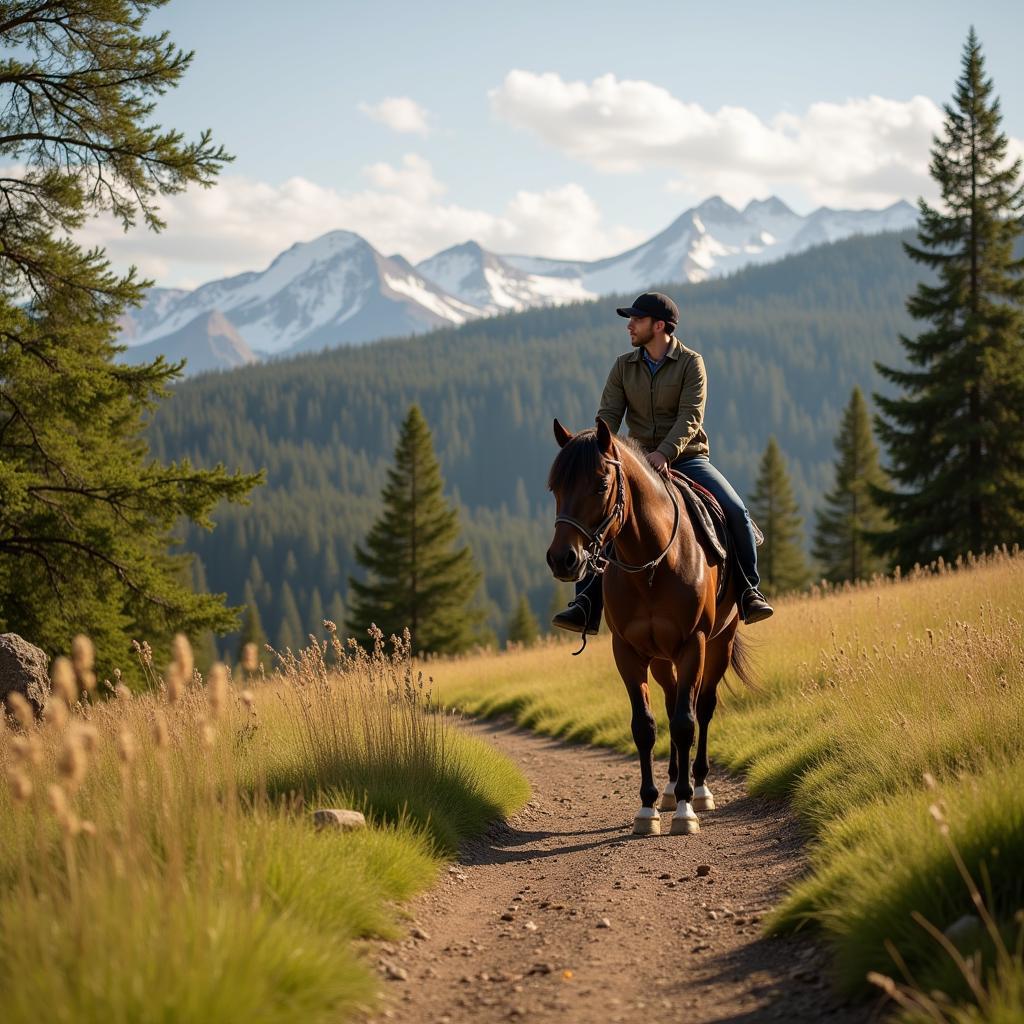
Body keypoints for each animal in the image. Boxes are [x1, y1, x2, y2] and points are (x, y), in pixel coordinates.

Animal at [544, 419, 753, 835]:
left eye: (601, 484)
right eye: (554, 486)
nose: (563, 559)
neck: (653, 564)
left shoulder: (693, 645)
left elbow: (686, 723)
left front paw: (686, 811)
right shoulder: (628, 651)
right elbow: (645, 726)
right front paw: (648, 808)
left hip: (718, 644)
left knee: (702, 707)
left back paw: (698, 789)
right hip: (660, 659)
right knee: (672, 702)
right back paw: (672, 787)